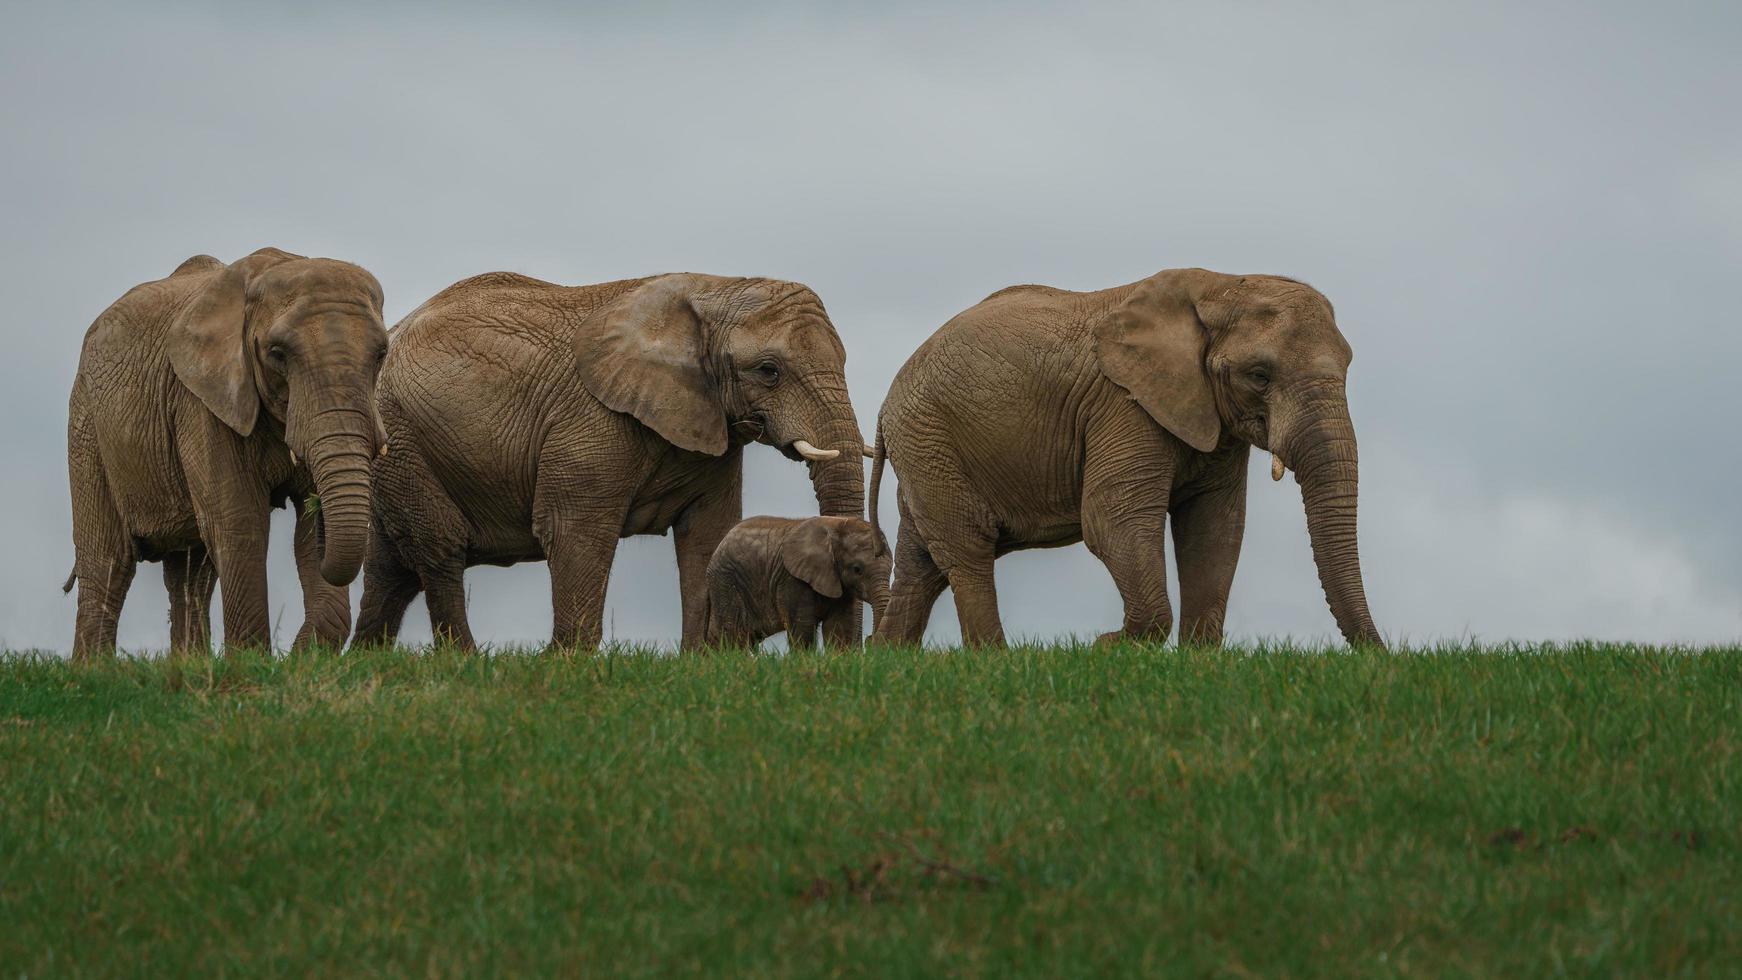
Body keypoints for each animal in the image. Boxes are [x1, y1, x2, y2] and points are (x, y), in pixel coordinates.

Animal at [353, 271, 871, 651]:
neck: (713, 288)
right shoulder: (592, 418)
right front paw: (568, 663)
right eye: (769, 371)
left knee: (390, 569)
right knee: (438, 547)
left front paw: (701, 663)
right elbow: (575, 530)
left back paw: (366, 659)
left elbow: (708, 535)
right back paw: (465, 660)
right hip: (400, 434)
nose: (846, 654)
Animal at [703, 515, 891, 651]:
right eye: (857, 569)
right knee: (733, 632)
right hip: (726, 582)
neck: (836, 524)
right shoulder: (792, 579)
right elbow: (803, 629)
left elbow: (838, 628)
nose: (870, 639)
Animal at [871, 268, 1386, 651]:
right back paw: (994, 659)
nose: (1378, 655)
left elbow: (1215, 528)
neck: (1220, 285)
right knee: (967, 549)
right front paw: (1108, 647)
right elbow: (1111, 519)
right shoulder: (1123, 405)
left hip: (924, 448)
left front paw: (1199, 659)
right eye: (1259, 375)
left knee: (922, 563)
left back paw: (888, 655)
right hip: (928, 437)